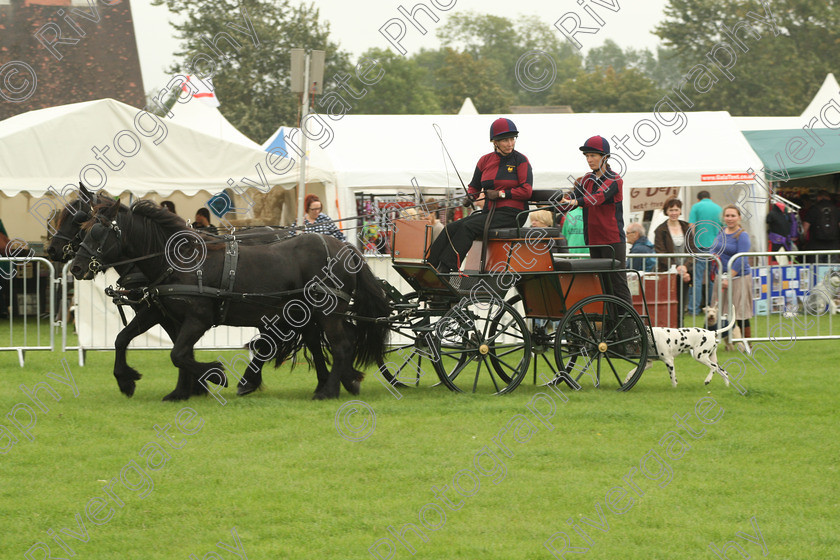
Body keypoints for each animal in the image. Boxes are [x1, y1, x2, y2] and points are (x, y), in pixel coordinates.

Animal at [70, 199, 388, 400]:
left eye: (97, 232)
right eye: (81, 229)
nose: (75, 267)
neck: (179, 261)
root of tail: (346, 249)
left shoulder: (198, 318)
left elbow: (179, 354)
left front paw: (214, 375)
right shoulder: (160, 313)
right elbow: (124, 339)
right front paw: (136, 382)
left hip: (327, 311)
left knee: (341, 345)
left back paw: (330, 390)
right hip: (305, 312)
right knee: (317, 343)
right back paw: (331, 384)